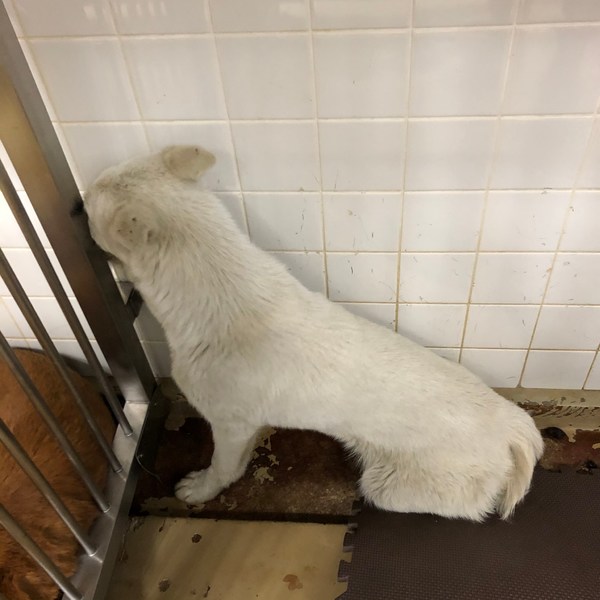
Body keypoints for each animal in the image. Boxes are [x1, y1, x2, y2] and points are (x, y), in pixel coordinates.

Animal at [84, 145, 543, 522]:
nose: (79, 196)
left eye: (94, 199)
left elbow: (223, 467)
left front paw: (201, 488)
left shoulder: (229, 425)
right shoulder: (247, 426)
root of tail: (512, 425)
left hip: (385, 485)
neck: (214, 284)